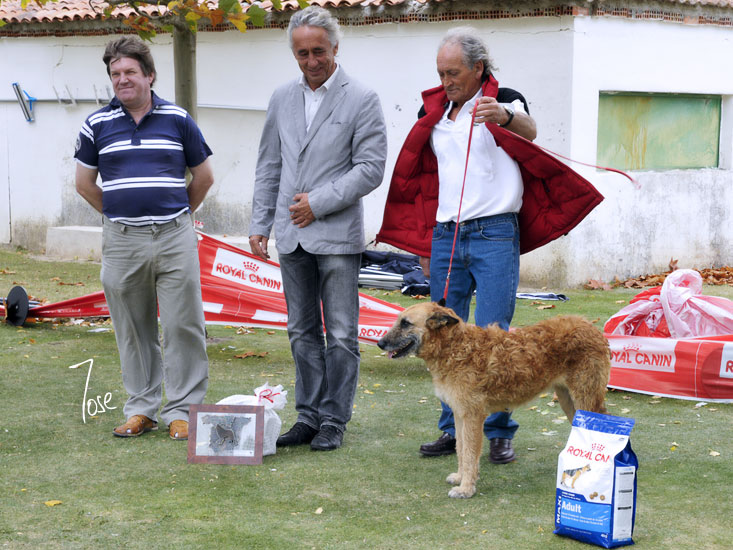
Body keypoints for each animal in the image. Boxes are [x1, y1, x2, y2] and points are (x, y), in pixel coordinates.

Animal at [377, 302, 610, 499]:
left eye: (405, 323)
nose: (380, 343)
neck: (454, 347)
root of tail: (591, 327)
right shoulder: (460, 414)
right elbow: (461, 449)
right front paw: (460, 478)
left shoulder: (473, 416)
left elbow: (470, 453)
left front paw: (466, 489)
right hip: (568, 400)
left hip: (585, 398)